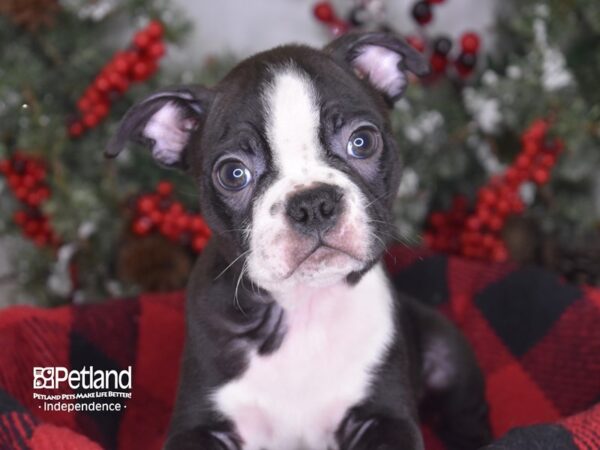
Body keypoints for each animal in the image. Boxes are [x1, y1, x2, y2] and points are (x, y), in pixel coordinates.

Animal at [108, 31, 492, 450]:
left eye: (362, 141)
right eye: (233, 173)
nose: (312, 204)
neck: (304, 306)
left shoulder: (384, 415)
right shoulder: (199, 424)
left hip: (446, 348)